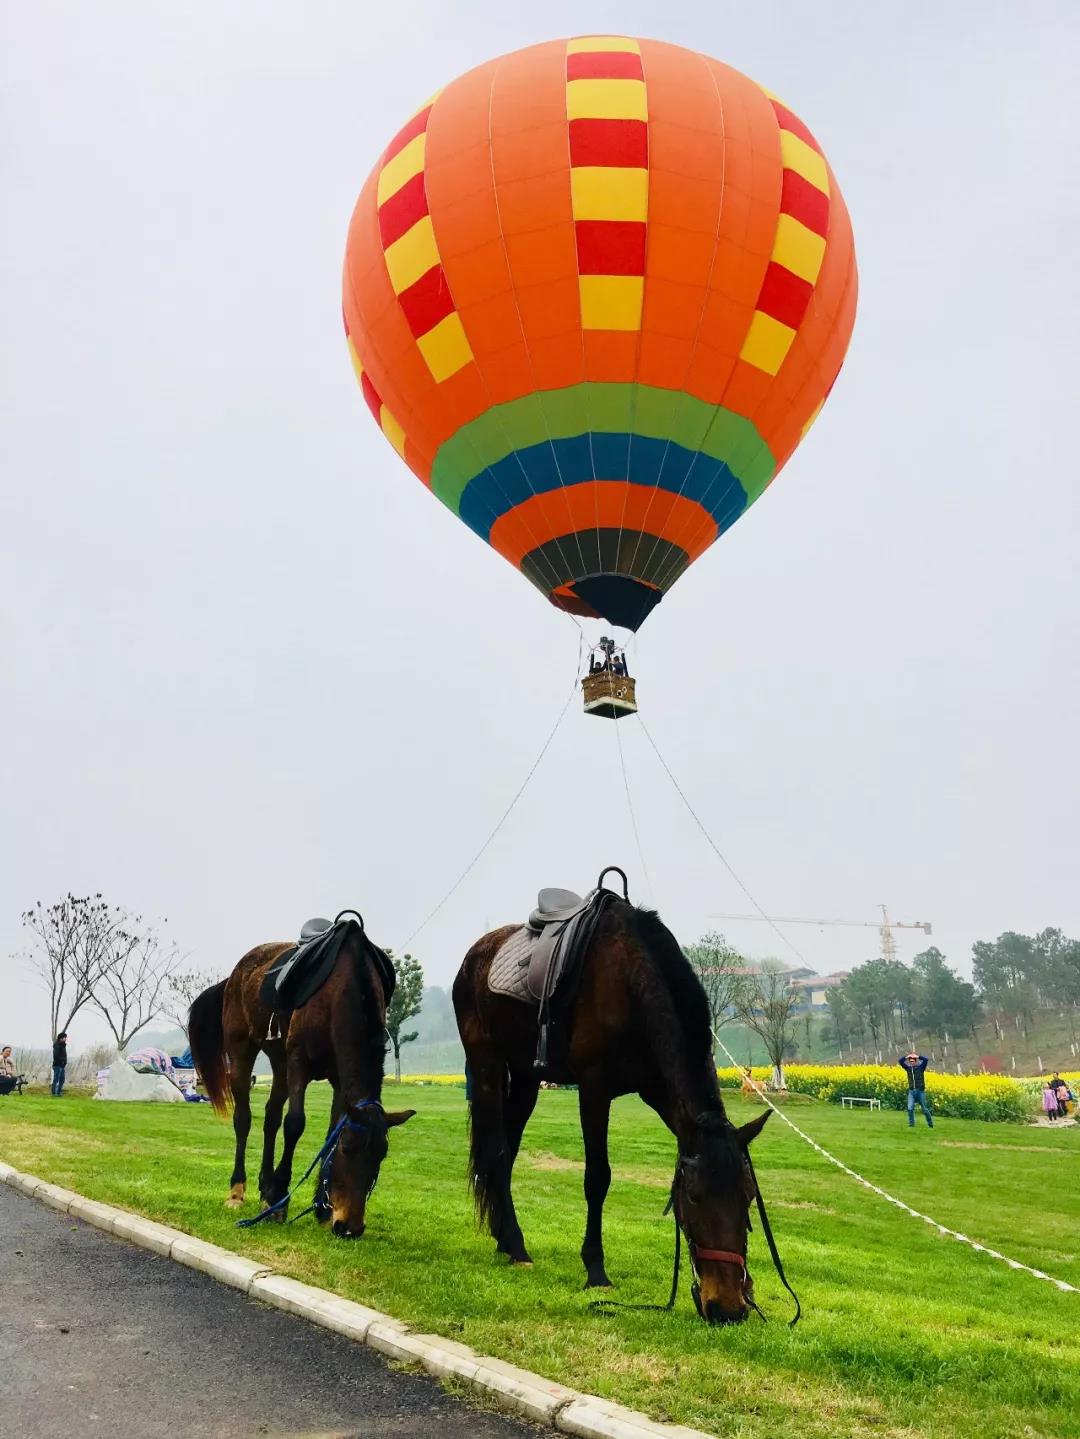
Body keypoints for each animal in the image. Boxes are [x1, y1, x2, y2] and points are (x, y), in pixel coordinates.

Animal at [188, 920, 414, 1237]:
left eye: (381, 1155)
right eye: (348, 1149)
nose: (350, 1227)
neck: (341, 989)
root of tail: (235, 975)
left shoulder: (338, 1080)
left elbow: (328, 1131)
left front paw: (320, 1207)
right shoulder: (298, 1064)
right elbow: (294, 1124)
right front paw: (281, 1201)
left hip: (279, 1064)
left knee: (270, 1118)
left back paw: (265, 1190)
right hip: (241, 1050)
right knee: (244, 1119)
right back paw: (238, 1191)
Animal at [451, 897, 770, 1323]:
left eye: (748, 1195)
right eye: (694, 1196)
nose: (728, 1307)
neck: (632, 981)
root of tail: (475, 954)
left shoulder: (659, 1089)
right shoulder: (593, 1087)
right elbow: (597, 1178)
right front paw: (595, 1269)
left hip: (525, 1076)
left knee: (508, 1153)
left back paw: (505, 1240)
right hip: (486, 1062)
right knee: (498, 1154)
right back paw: (517, 1247)